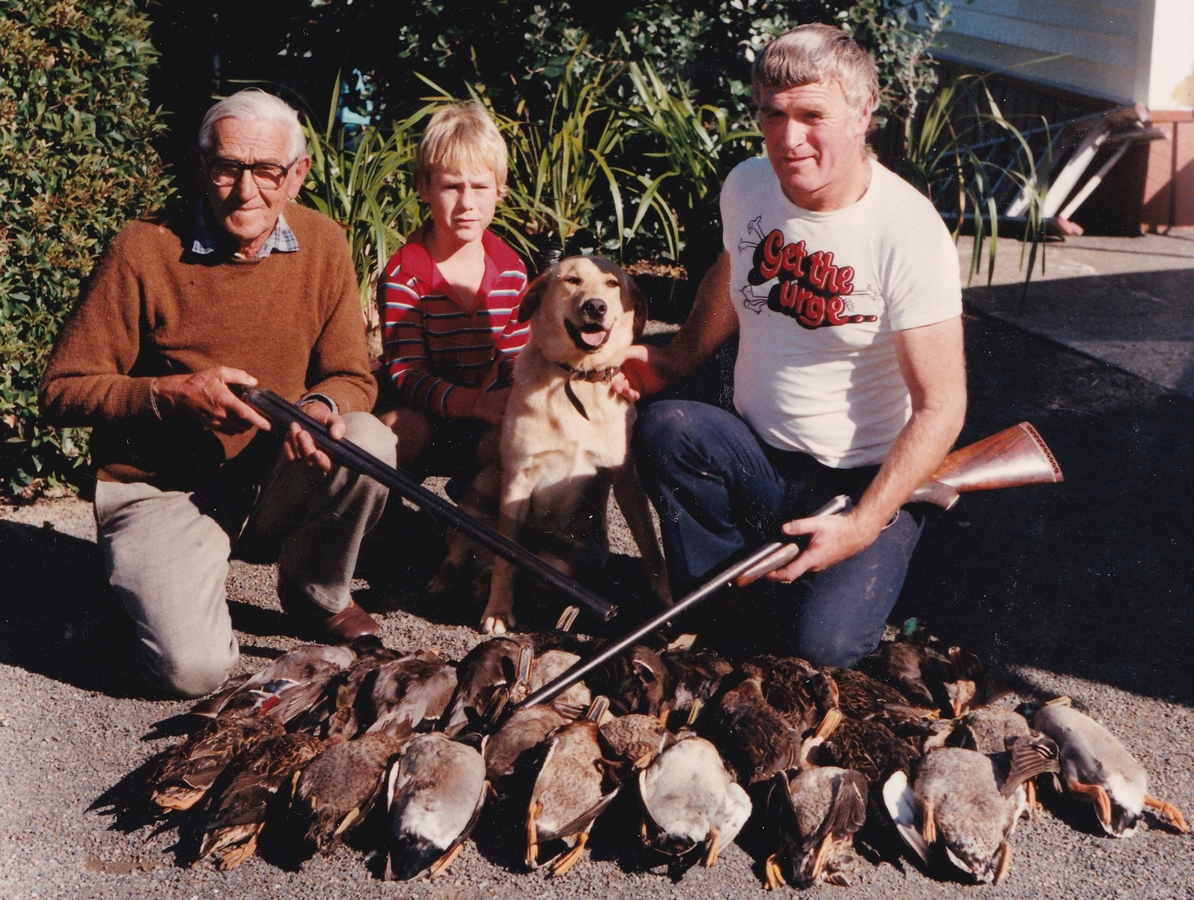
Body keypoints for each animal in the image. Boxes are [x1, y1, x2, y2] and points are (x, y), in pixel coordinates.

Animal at [482, 253, 673, 630]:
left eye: (612, 284)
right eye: (572, 280)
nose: (596, 306)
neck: (578, 376)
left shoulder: (626, 478)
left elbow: (651, 548)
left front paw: (669, 604)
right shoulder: (518, 478)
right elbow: (506, 554)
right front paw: (497, 610)